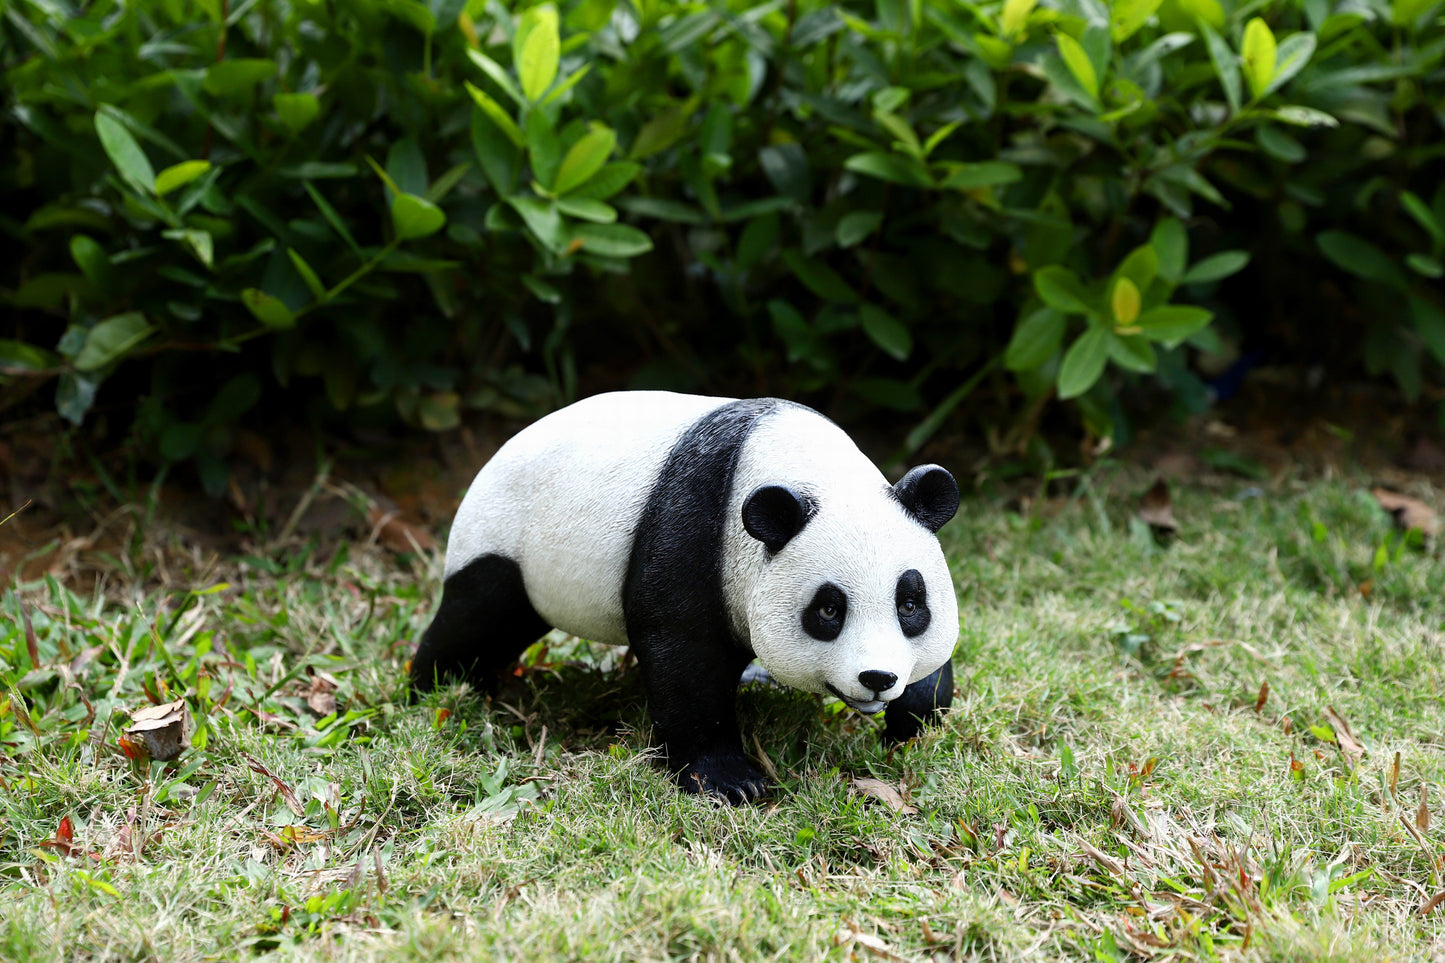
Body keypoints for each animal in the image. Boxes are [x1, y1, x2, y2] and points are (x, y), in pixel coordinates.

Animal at [411, 391, 960, 804]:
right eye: (828, 610)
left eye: (910, 604)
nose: (877, 678)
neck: (801, 463)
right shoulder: (697, 527)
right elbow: (683, 651)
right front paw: (729, 781)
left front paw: (911, 723)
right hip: (509, 541)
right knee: (479, 617)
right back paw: (440, 687)